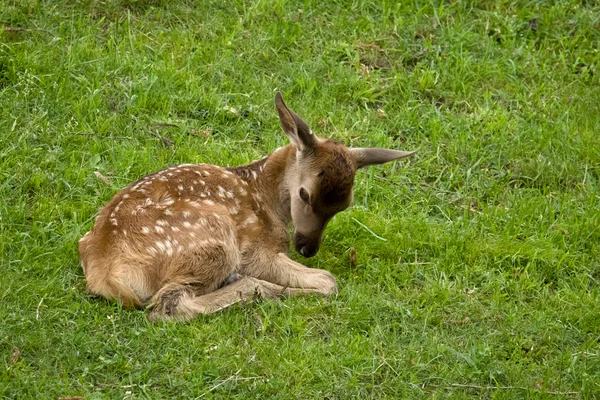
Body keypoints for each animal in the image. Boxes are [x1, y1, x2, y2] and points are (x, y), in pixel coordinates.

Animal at [78, 92, 418, 320]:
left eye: (344, 206)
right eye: (305, 194)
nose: (307, 248)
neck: (263, 192)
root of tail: (104, 271)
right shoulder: (256, 249)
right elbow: (328, 280)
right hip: (212, 239)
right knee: (169, 306)